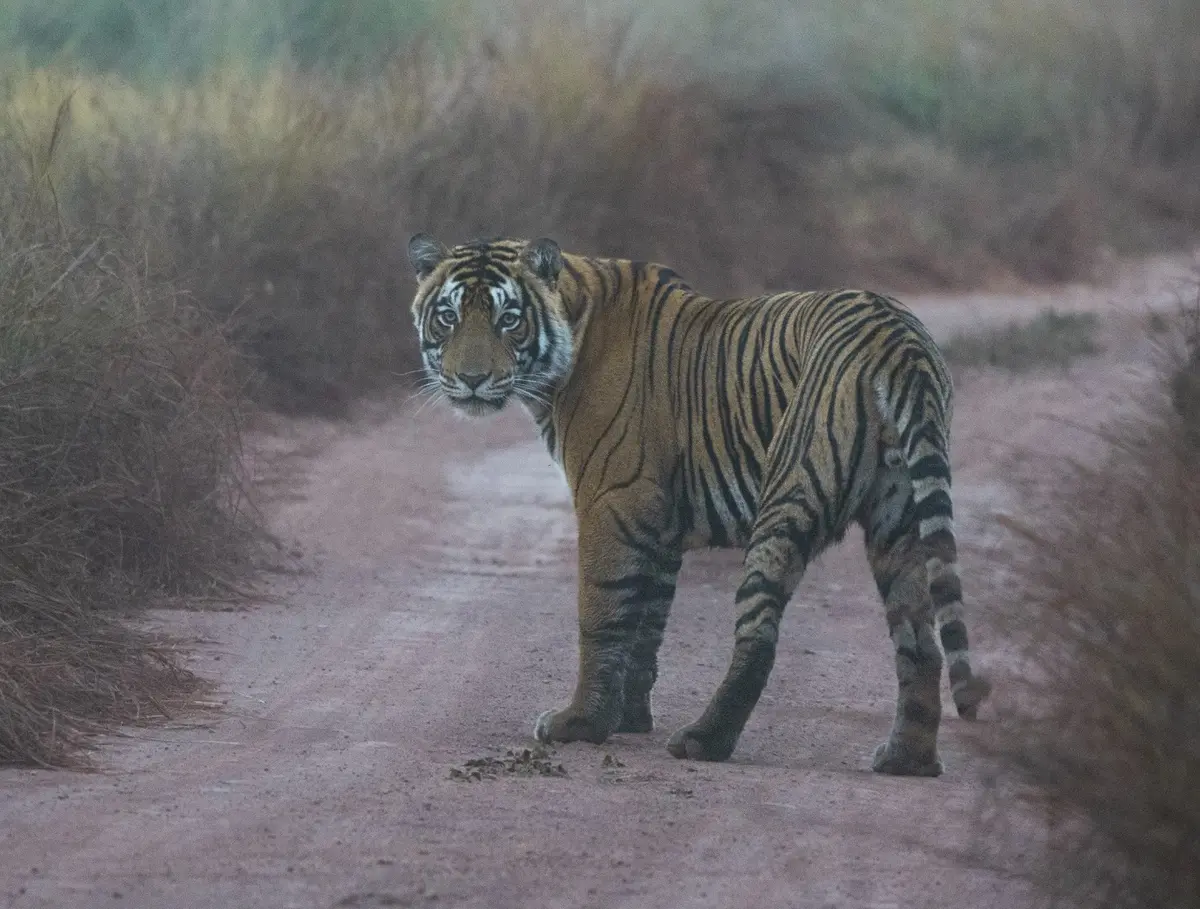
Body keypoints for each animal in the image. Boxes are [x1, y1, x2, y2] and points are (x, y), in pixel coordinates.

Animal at [407, 233, 991, 776]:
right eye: (448, 317)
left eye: (508, 319)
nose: (473, 380)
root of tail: (899, 338)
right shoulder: (660, 526)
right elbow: (646, 626)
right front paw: (627, 718)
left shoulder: (611, 503)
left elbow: (602, 614)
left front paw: (581, 724)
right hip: (900, 517)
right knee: (920, 641)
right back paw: (906, 759)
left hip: (789, 496)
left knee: (760, 636)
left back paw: (703, 740)